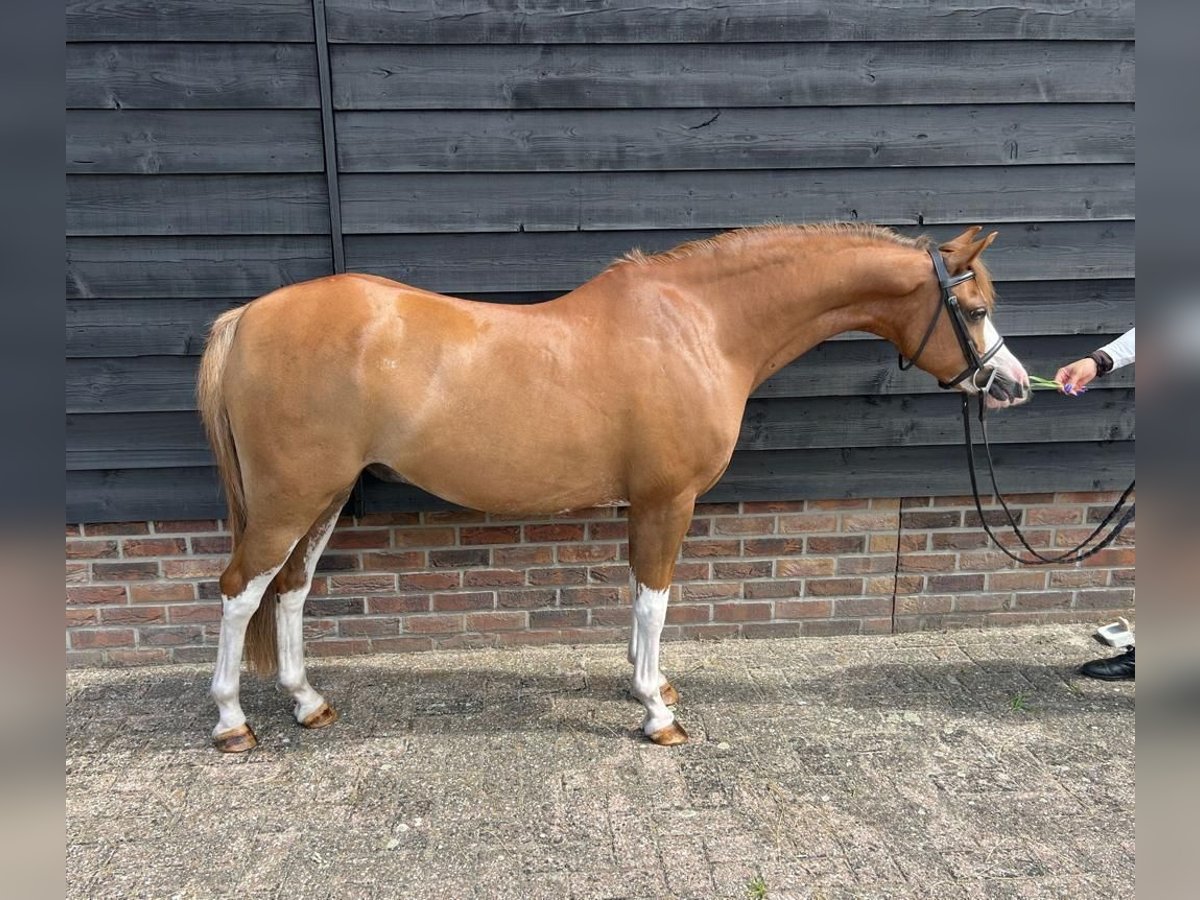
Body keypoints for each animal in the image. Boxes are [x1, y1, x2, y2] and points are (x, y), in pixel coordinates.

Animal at [196, 224, 1032, 753]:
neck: (702, 324)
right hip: (290, 498)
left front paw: (644, 685)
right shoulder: (669, 499)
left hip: (324, 497)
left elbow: (637, 596)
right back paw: (233, 723)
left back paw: (308, 703)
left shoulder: (648, 503)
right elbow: (656, 599)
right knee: (241, 590)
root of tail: (247, 319)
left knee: (292, 590)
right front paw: (657, 714)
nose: (1014, 386)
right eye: (976, 308)